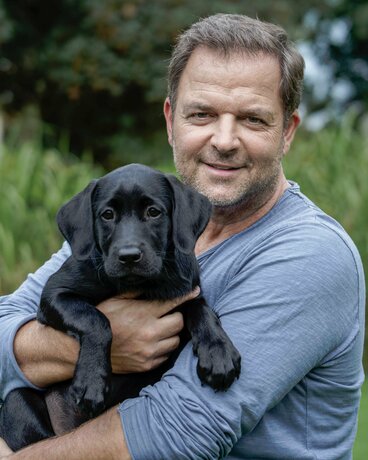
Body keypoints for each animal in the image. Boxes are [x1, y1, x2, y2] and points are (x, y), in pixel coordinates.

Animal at [0, 164, 242, 450]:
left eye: (153, 212)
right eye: (107, 215)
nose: (128, 256)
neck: (137, 285)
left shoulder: (185, 292)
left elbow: (202, 309)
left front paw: (218, 353)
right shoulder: (54, 295)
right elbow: (96, 320)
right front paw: (91, 381)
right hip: (17, 402)